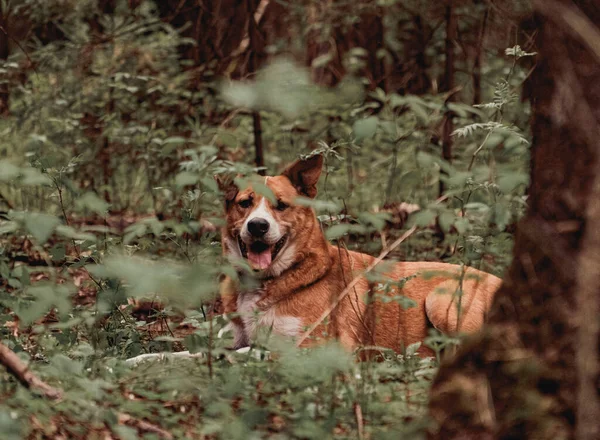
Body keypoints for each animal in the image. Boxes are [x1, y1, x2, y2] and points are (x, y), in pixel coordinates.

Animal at [218, 155, 500, 358]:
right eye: (245, 203)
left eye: (281, 205)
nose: (257, 226)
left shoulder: (317, 348)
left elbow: (251, 353)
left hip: (440, 301)